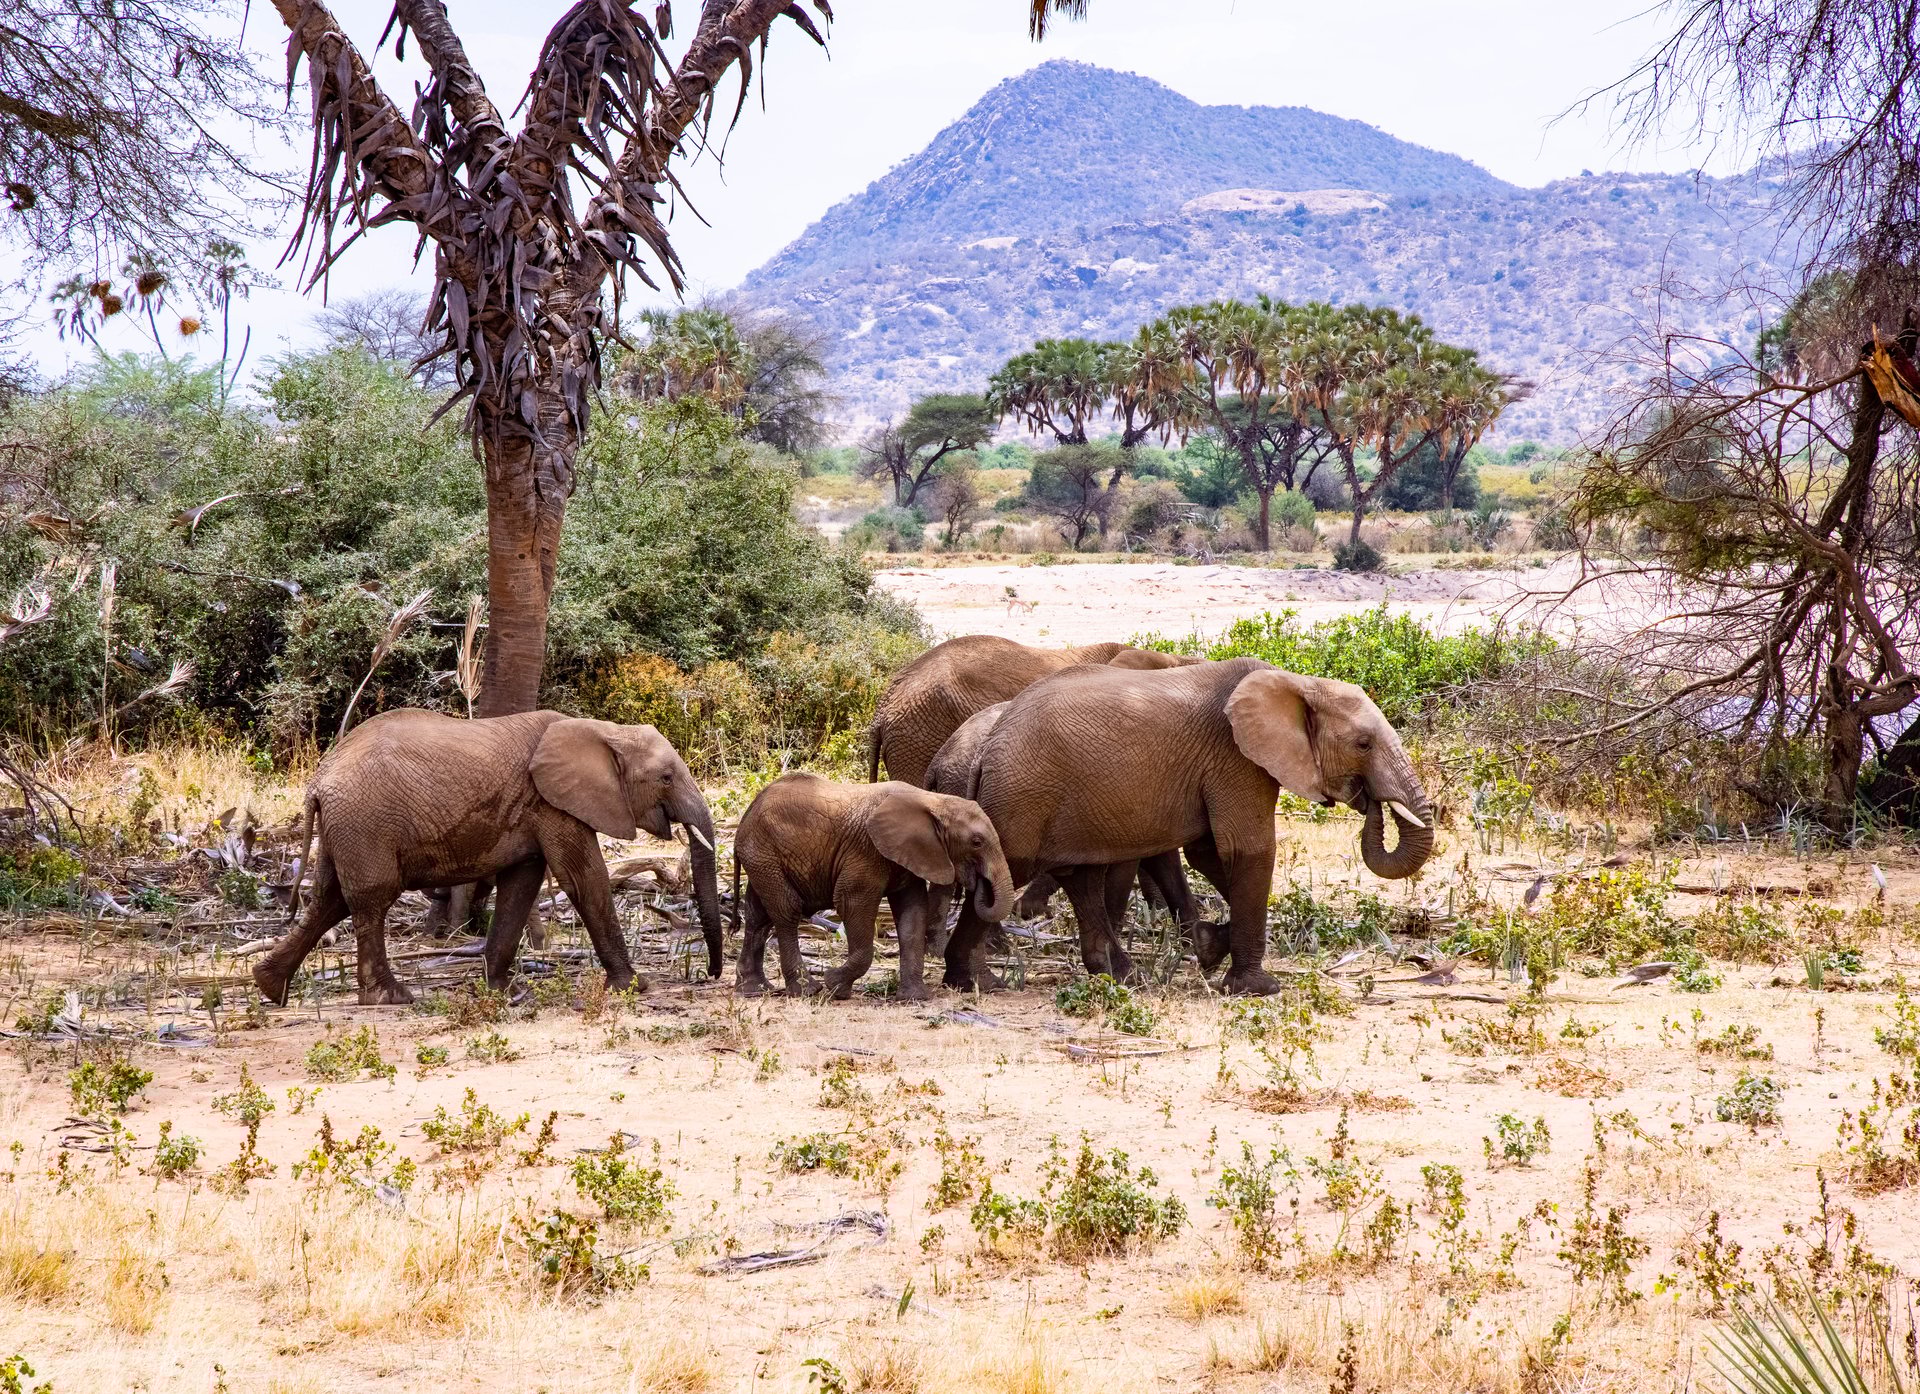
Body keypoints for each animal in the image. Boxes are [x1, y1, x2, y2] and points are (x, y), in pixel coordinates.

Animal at [252, 709, 722, 1006]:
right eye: (666, 778)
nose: (710, 976)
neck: (604, 730)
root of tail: (318, 781)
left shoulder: (534, 809)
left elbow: (521, 884)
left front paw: (497, 990)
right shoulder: (553, 804)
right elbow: (583, 878)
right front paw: (635, 987)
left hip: (347, 828)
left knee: (329, 901)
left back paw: (270, 988)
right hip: (365, 822)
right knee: (371, 898)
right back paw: (390, 998)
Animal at [731, 773, 1014, 1000]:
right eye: (976, 842)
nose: (978, 882)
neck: (933, 801)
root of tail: (747, 813)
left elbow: (913, 914)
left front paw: (914, 999)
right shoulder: (866, 850)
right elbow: (851, 903)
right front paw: (835, 986)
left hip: (763, 858)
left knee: (758, 916)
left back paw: (754, 990)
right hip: (764, 853)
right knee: (787, 910)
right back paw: (807, 990)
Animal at [942, 658, 1436, 996]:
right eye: (1363, 744)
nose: (1371, 802)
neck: (1298, 683)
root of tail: (986, 746)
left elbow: (1208, 855)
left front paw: (1207, 945)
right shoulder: (1236, 760)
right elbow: (1248, 851)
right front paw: (1257, 989)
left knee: (1079, 878)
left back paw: (1122, 976)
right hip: (1024, 795)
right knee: (1009, 872)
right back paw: (973, 983)